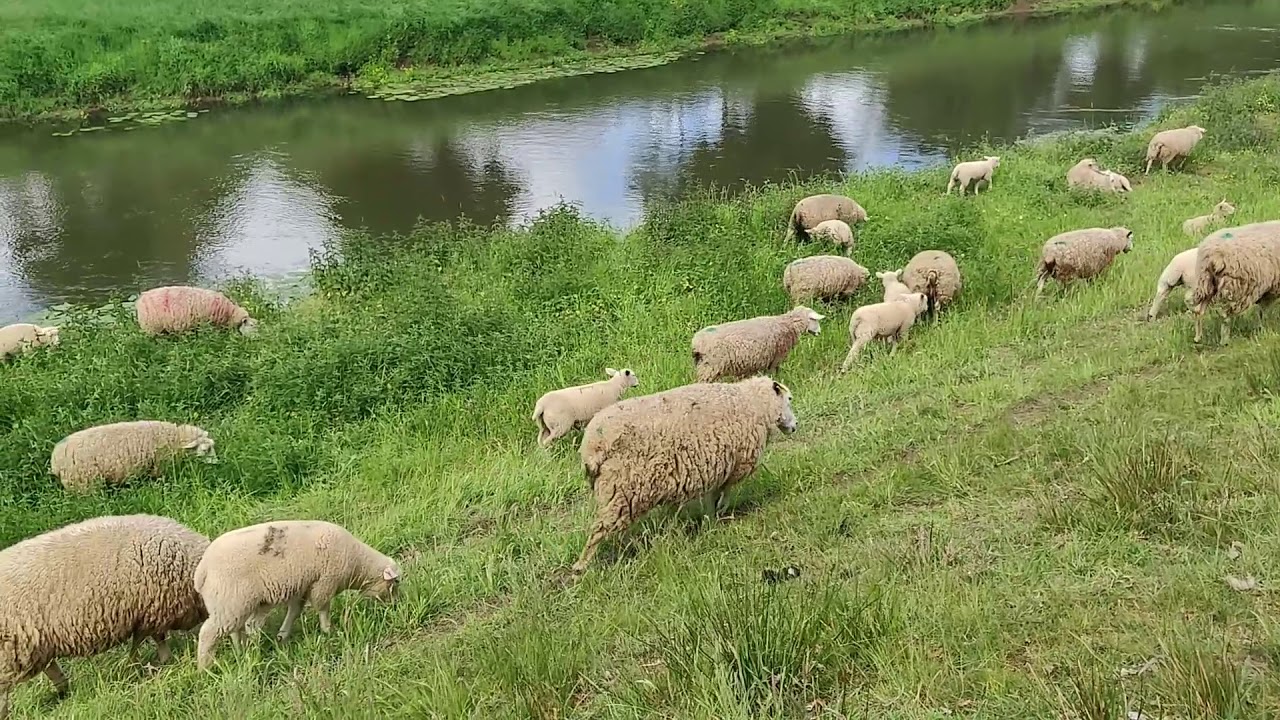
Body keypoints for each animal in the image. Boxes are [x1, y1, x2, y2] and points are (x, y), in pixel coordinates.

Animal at [0, 514, 208, 719]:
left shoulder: (149, 611)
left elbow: (149, 639)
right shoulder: (152, 609)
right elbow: (150, 639)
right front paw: (147, 663)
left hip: (36, 644)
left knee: (50, 668)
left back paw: (64, 691)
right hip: (11, 651)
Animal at [51, 420, 217, 494]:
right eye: (205, 450)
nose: (217, 463)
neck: (175, 438)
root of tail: (55, 460)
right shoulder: (160, 465)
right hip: (84, 482)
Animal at [194, 520, 401, 671]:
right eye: (396, 582)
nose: (396, 606)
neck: (358, 565)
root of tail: (202, 570)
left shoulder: (301, 587)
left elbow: (294, 611)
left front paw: (282, 635)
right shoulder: (324, 582)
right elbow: (323, 608)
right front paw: (328, 630)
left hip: (233, 604)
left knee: (235, 629)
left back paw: (242, 651)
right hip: (230, 601)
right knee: (208, 634)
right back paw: (205, 667)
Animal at [572, 375, 797, 572]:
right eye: (789, 399)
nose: (795, 427)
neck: (755, 402)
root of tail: (592, 446)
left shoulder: (717, 467)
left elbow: (712, 497)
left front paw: (710, 520)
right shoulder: (735, 464)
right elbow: (723, 494)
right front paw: (720, 514)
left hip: (615, 491)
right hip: (621, 488)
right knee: (600, 529)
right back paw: (581, 566)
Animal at [691, 306, 824, 383]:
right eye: (815, 320)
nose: (819, 333)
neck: (787, 324)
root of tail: (696, 343)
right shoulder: (776, 357)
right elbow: (774, 373)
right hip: (710, 366)